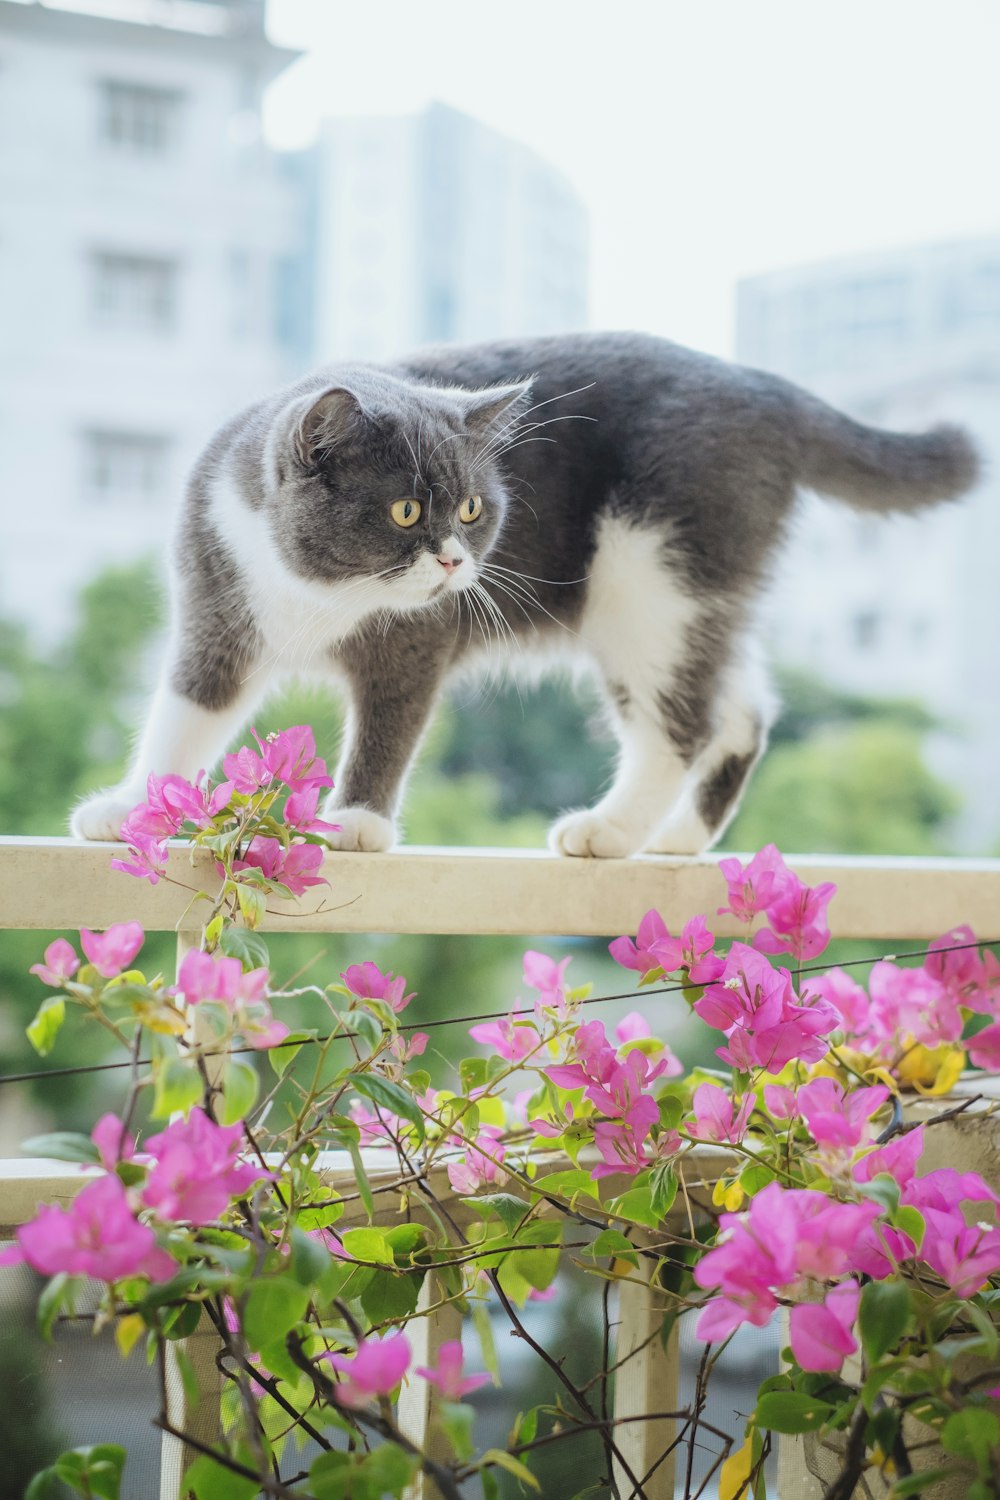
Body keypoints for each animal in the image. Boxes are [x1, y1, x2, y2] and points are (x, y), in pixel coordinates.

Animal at [70, 336, 977, 864]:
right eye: (406, 510)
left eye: (473, 510)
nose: (452, 560)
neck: (321, 593)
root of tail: (766, 388)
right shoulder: (218, 607)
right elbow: (186, 715)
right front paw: (128, 807)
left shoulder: (416, 640)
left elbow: (392, 724)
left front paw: (358, 821)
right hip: (698, 593)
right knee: (741, 707)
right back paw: (678, 840)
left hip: (651, 582)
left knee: (681, 721)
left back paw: (612, 831)